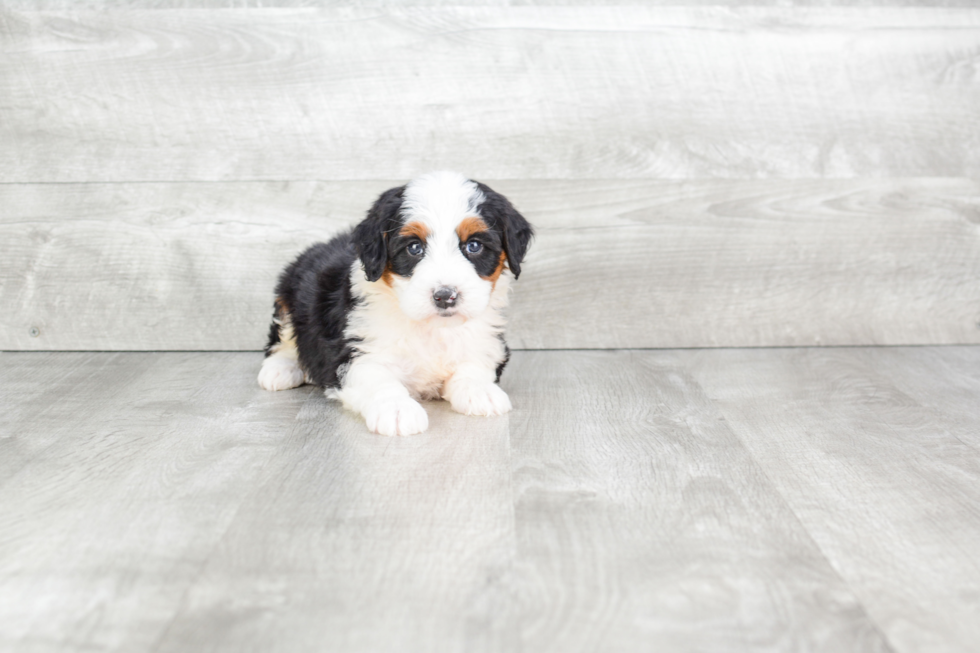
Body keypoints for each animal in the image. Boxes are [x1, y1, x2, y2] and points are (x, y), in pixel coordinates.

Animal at [256, 171, 532, 436]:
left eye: (474, 246)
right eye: (414, 247)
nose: (445, 296)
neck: (432, 328)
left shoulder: (486, 342)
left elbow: (474, 365)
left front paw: (480, 391)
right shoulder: (356, 350)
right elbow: (378, 379)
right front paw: (396, 409)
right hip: (290, 294)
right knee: (282, 340)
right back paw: (280, 370)